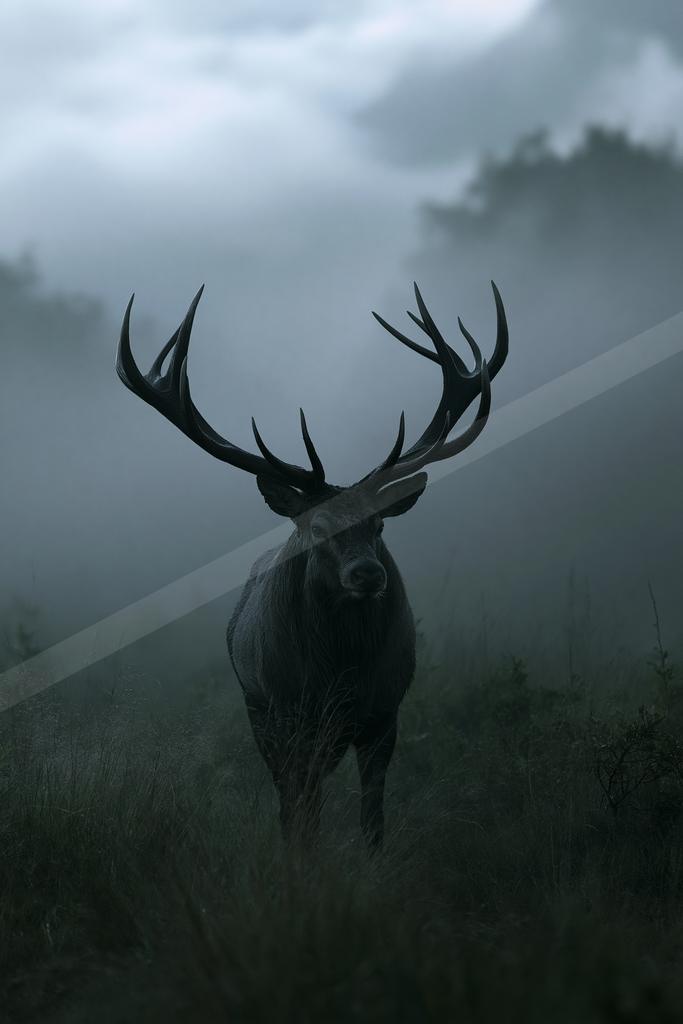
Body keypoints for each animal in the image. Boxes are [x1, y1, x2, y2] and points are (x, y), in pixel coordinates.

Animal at [116, 280, 508, 846]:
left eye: (380, 525)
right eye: (316, 529)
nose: (367, 574)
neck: (340, 672)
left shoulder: (386, 711)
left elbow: (373, 818)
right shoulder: (289, 711)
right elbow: (302, 808)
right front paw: (303, 860)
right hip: (259, 710)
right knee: (290, 796)